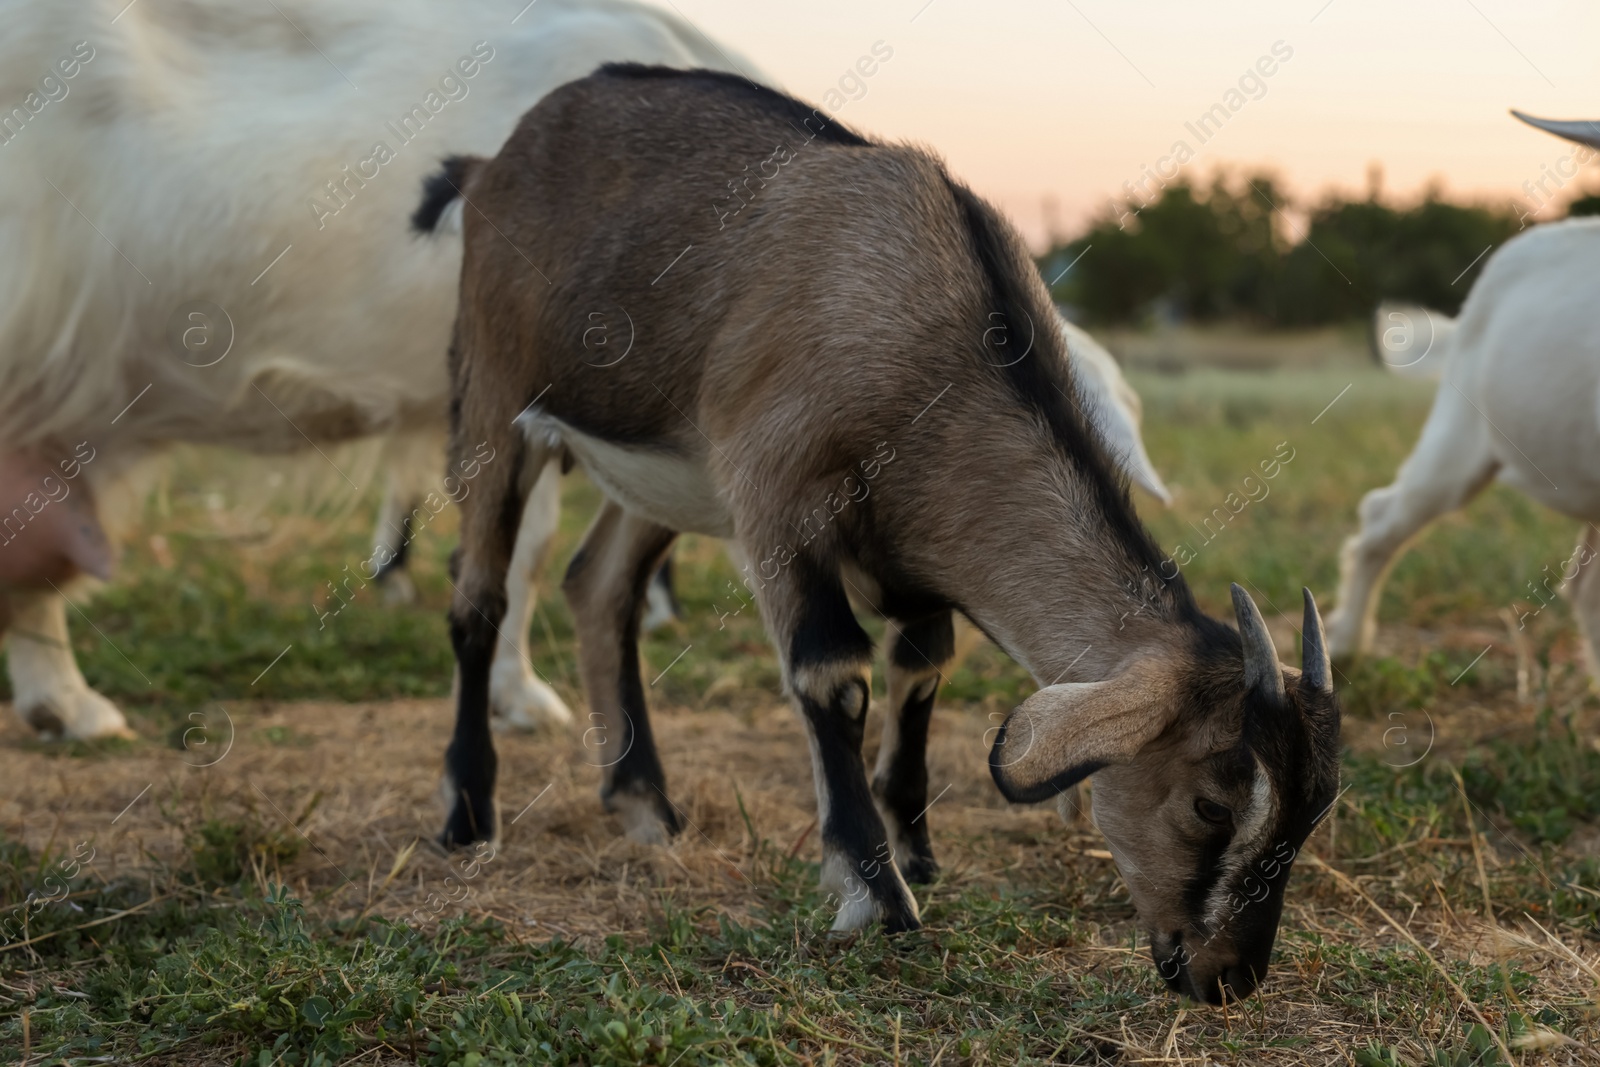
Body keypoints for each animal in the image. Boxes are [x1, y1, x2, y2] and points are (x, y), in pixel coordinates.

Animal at [425, 64, 1337, 1004]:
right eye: (1211, 803)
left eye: (1314, 812)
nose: (1229, 976)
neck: (936, 338)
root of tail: (493, 163)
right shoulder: (777, 496)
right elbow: (835, 676)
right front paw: (877, 893)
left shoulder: (921, 550)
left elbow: (922, 669)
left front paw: (916, 850)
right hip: (491, 396)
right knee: (479, 595)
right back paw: (468, 813)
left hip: (660, 475)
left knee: (600, 585)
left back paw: (643, 804)